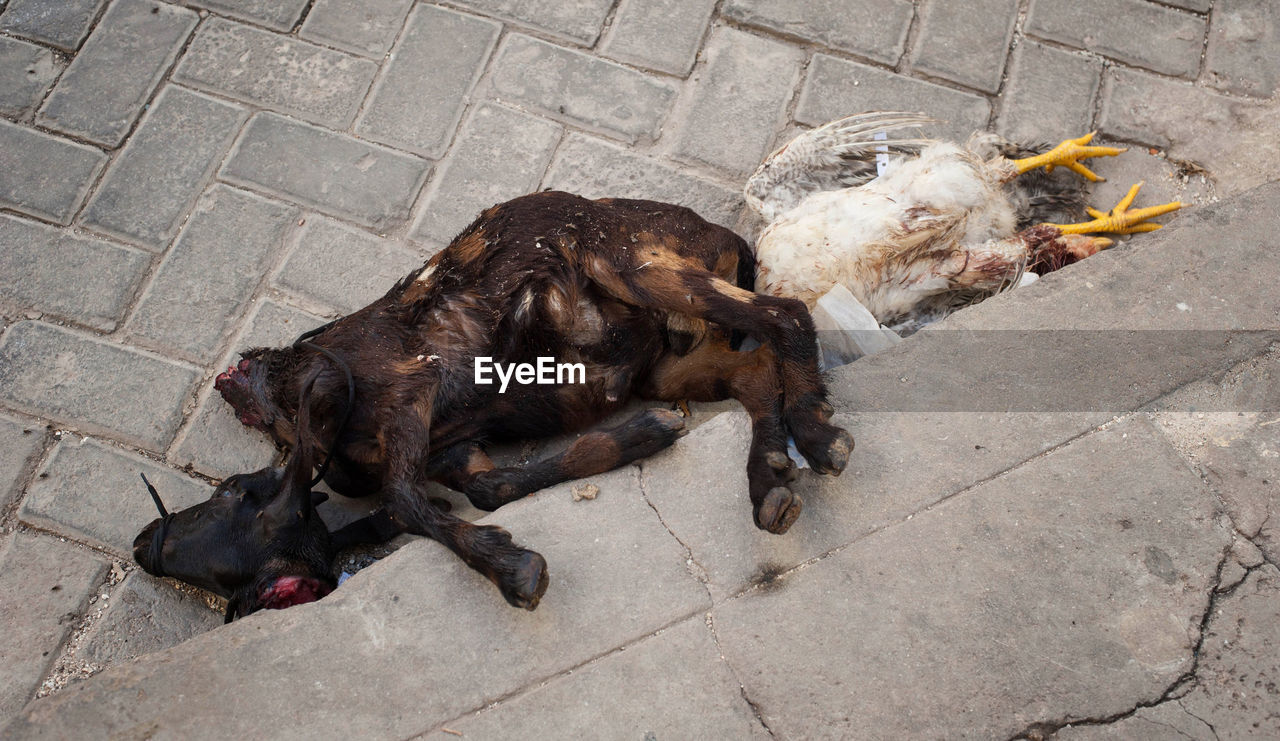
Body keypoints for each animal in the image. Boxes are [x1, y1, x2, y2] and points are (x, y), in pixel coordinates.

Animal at [132, 191, 849, 619]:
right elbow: (489, 487)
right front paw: (637, 438)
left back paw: (815, 436)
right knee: (755, 371)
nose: (144, 544)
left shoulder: (395, 386)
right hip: (673, 362)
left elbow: (406, 501)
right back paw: (770, 481)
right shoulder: (452, 450)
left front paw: (513, 568)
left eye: (228, 492)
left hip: (628, 260)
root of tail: (727, 236)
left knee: (785, 315)